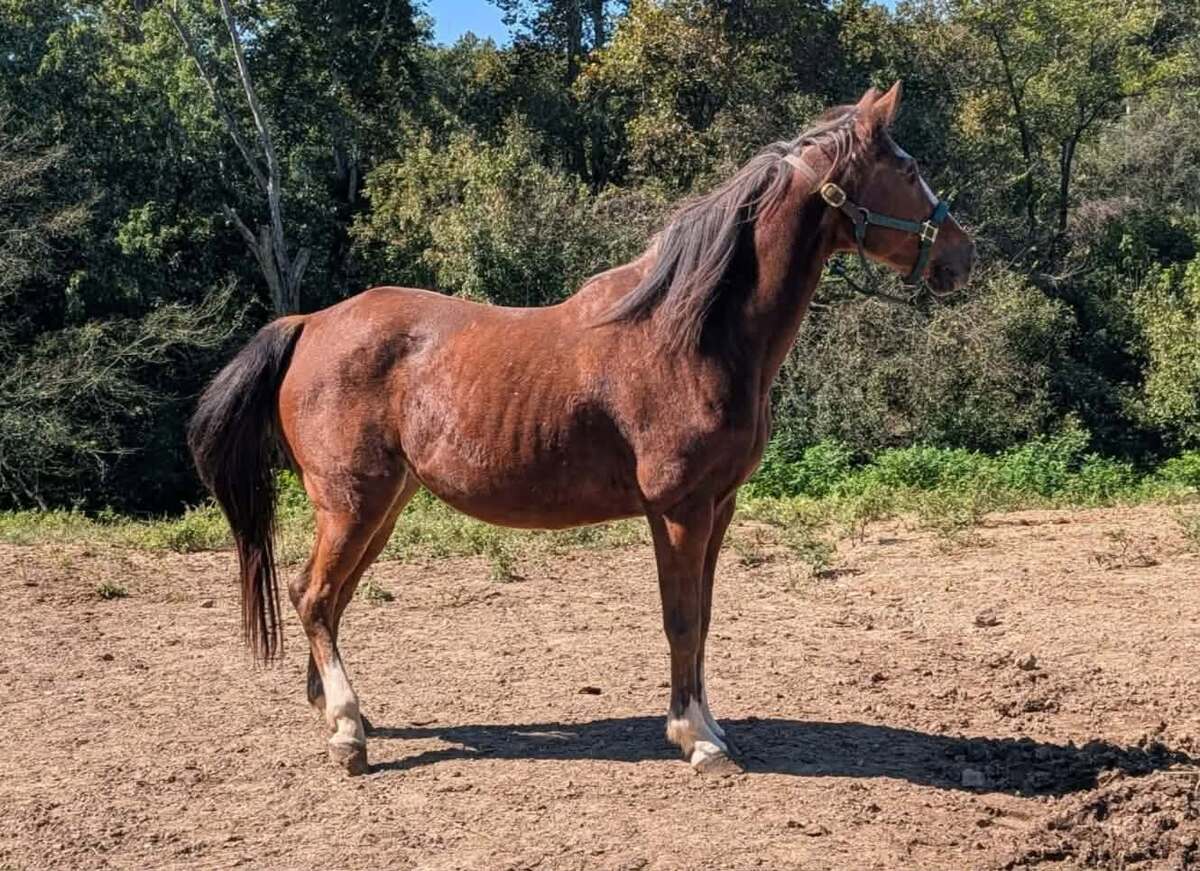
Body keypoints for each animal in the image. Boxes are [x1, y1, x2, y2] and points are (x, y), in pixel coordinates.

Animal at [188, 82, 976, 776]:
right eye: (907, 168)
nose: (961, 255)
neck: (692, 335)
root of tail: (309, 323)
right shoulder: (680, 509)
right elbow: (681, 618)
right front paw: (698, 740)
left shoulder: (718, 508)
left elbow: (703, 617)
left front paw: (706, 725)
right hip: (352, 503)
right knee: (316, 597)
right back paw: (348, 732)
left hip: (379, 508)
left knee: (328, 597)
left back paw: (341, 714)